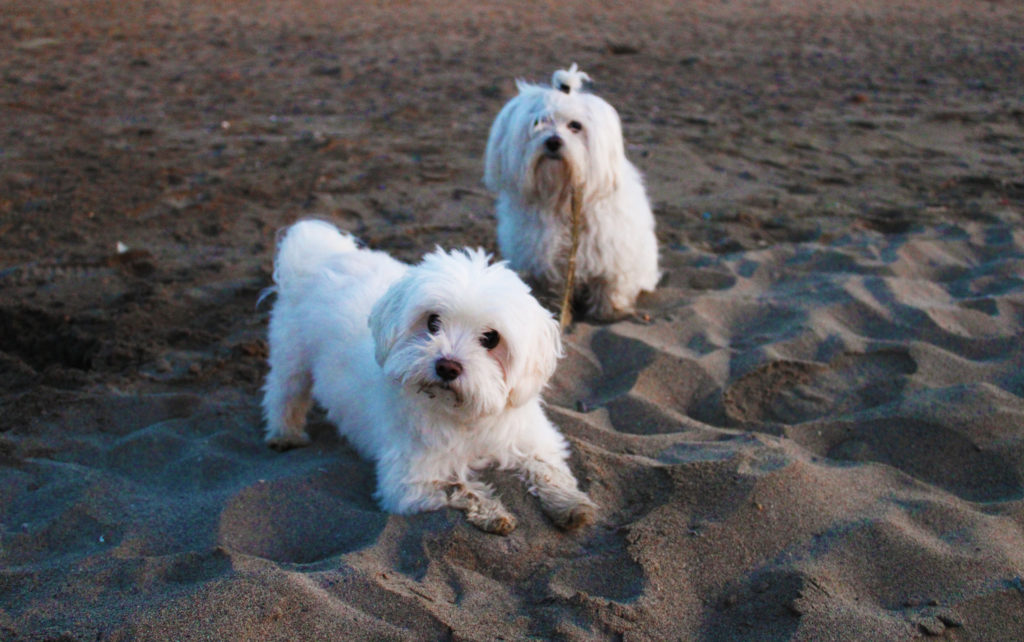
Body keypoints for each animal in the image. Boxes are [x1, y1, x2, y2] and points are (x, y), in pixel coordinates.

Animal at [260, 218, 598, 536]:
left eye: (491, 338)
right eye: (433, 322)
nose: (447, 366)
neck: (466, 416)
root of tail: (322, 252)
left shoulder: (531, 437)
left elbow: (548, 469)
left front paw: (571, 505)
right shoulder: (409, 483)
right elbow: (458, 487)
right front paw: (494, 513)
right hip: (292, 356)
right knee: (283, 394)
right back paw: (285, 434)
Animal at [483, 63, 659, 319]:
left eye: (575, 126)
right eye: (538, 122)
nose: (553, 141)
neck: (562, 199)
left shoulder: (613, 255)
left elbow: (610, 285)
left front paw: (607, 311)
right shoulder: (543, 263)